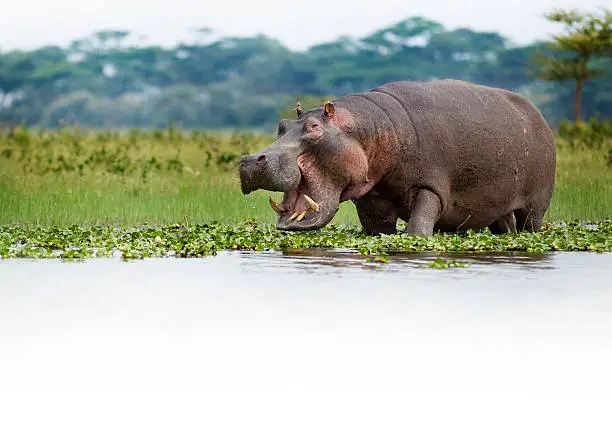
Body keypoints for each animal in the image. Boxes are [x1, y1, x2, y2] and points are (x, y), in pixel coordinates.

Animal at [238, 78, 556, 235]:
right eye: (282, 125)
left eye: (314, 128)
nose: (250, 160)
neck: (368, 129)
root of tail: (538, 113)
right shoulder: (372, 198)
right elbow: (378, 231)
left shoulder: (431, 187)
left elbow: (417, 230)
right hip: (497, 208)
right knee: (504, 226)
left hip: (536, 204)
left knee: (531, 225)